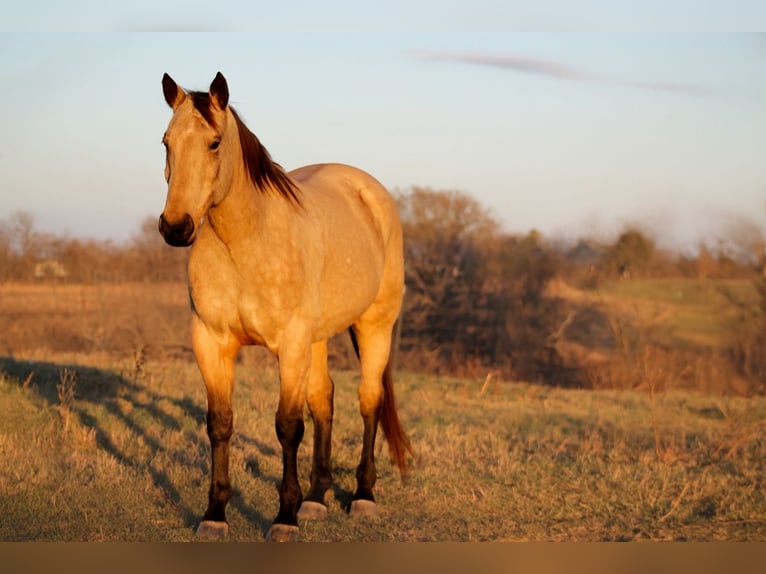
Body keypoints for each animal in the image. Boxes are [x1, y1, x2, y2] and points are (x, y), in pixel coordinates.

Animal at [158, 72, 411, 541]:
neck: (245, 243)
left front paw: (284, 518)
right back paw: (316, 498)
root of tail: (369, 191)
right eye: (166, 142)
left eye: (214, 143)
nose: (176, 227)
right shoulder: (211, 343)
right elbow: (220, 423)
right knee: (324, 399)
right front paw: (215, 514)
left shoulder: (289, 346)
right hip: (317, 339)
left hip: (374, 325)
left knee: (369, 400)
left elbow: (288, 427)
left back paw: (362, 496)